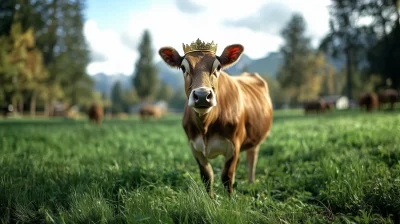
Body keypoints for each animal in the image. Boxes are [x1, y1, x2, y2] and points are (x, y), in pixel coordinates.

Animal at [158, 39, 274, 197]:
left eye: (218, 67)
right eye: (183, 68)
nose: (202, 95)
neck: (206, 126)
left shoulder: (234, 145)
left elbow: (227, 176)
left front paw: (230, 199)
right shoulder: (195, 147)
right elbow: (207, 175)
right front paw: (210, 198)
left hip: (255, 138)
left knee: (252, 158)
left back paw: (251, 183)